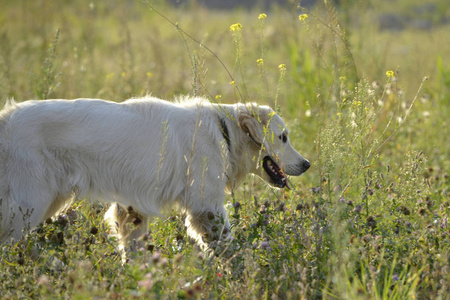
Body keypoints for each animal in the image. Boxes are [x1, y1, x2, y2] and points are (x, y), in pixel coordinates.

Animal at [0, 96, 310, 253]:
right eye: (283, 137)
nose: (307, 164)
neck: (223, 132)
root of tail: (5, 119)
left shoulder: (131, 209)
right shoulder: (206, 207)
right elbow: (228, 247)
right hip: (26, 207)